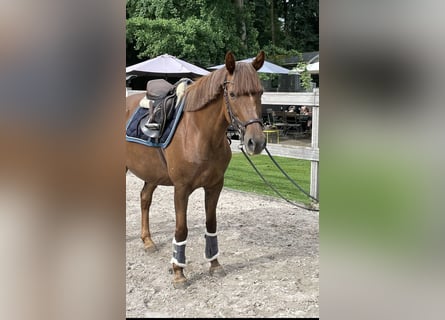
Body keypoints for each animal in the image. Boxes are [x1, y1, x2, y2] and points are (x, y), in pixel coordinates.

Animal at [123, 50, 266, 288]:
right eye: (233, 94)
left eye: (260, 92)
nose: (256, 142)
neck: (199, 133)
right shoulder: (181, 189)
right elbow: (181, 229)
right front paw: (178, 272)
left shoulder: (215, 186)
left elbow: (211, 223)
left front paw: (214, 264)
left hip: (151, 173)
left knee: (144, 199)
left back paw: (148, 241)